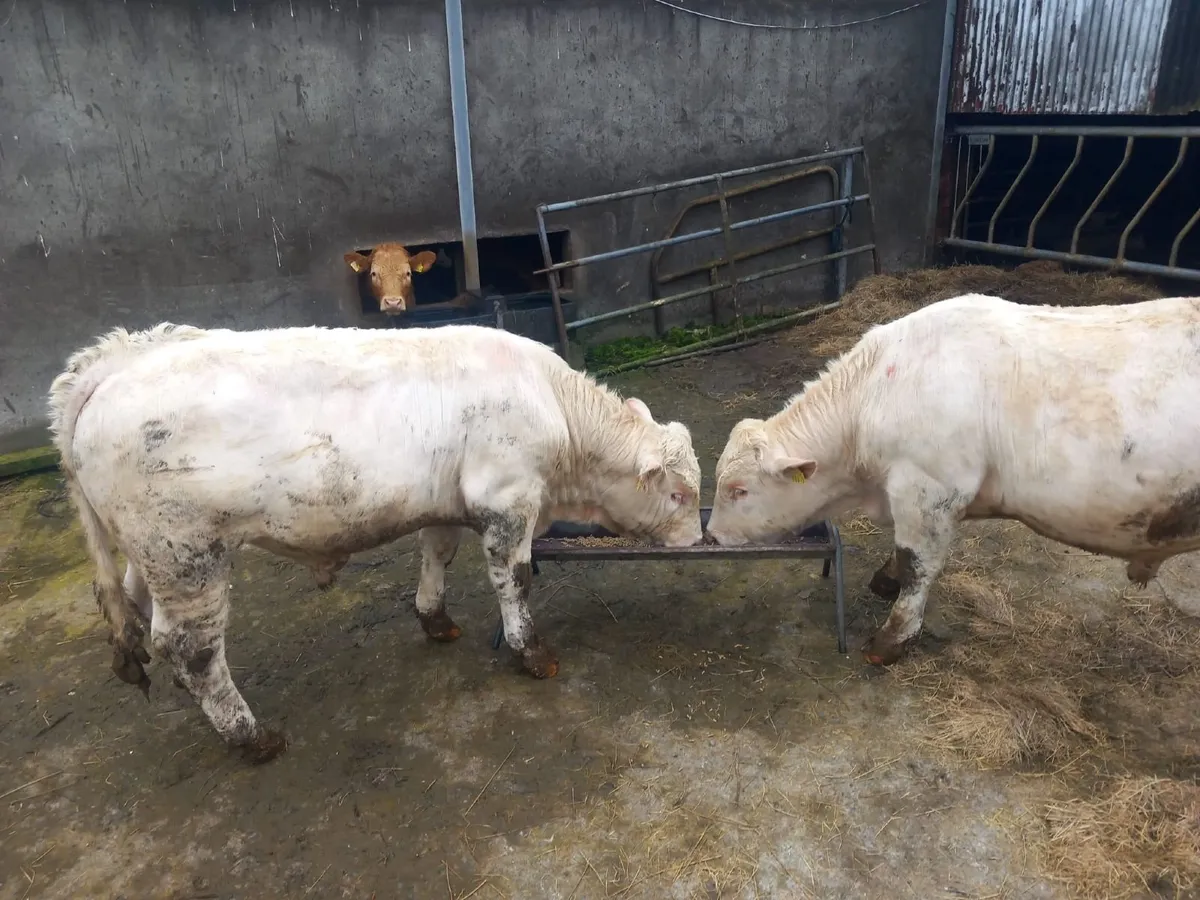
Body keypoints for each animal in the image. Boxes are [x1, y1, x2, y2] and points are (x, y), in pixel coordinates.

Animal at [49, 323, 703, 762]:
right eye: (678, 494)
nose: (697, 540)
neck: (554, 409)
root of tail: (114, 366)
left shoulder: (448, 501)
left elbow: (437, 554)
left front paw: (434, 618)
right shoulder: (506, 502)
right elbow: (512, 582)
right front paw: (531, 652)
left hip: (149, 555)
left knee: (137, 609)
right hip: (187, 556)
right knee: (191, 648)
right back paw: (251, 735)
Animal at [705, 293, 1200, 666]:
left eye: (739, 490)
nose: (710, 536)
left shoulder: (930, 487)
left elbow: (917, 564)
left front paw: (891, 640)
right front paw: (885, 581)